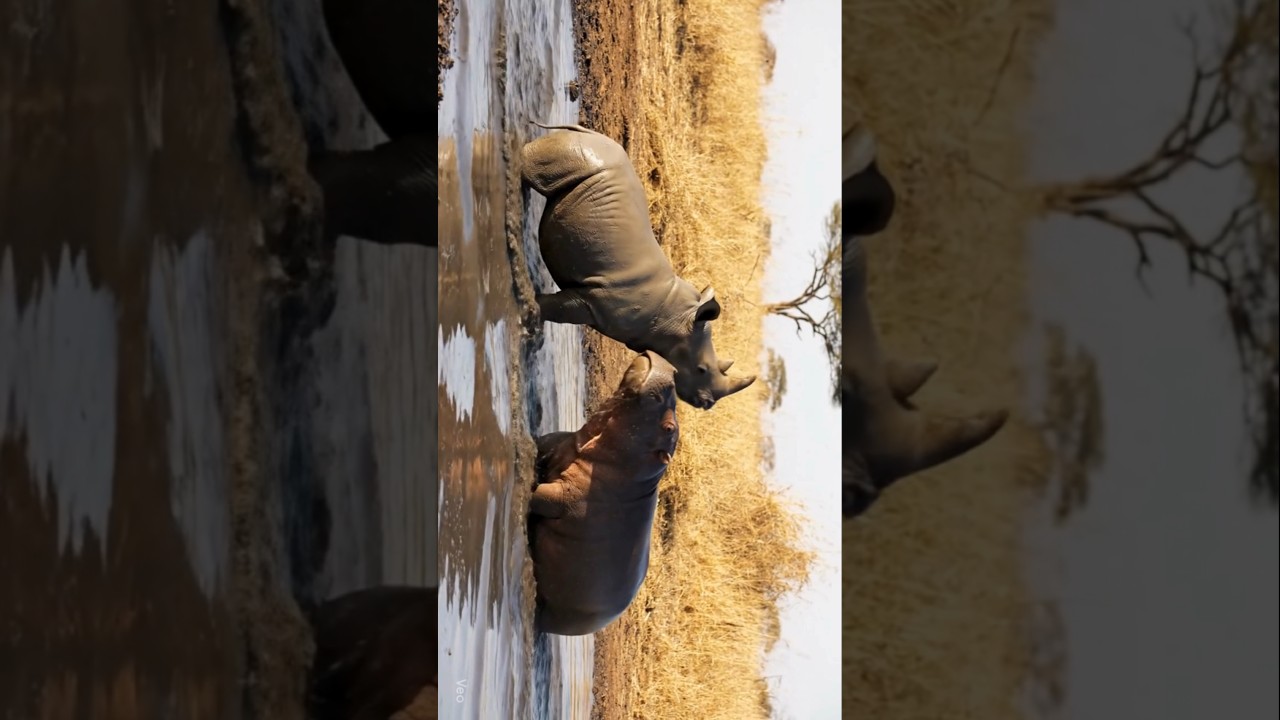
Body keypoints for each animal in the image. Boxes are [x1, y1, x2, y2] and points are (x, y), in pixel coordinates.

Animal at [520, 123, 756, 409]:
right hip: (579, 157)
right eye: (701, 369)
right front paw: (530, 314)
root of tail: (586, 132)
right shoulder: (594, 302)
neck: (676, 320)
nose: (707, 403)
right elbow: (556, 309)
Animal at [529, 350, 680, 636]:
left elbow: (538, 496)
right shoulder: (558, 442)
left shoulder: (565, 497)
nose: (674, 374)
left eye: (669, 428)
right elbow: (540, 443)